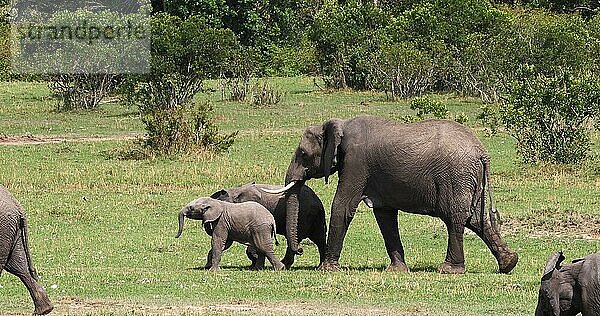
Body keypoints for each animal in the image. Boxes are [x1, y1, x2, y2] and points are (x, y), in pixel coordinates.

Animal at [264, 115, 516, 274]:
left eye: (303, 154)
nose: (299, 251)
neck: (339, 123)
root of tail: (482, 153)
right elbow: (385, 216)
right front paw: (397, 270)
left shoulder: (356, 162)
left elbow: (342, 207)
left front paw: (326, 270)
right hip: (470, 178)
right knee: (477, 219)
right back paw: (509, 264)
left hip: (456, 176)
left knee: (455, 218)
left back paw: (449, 270)